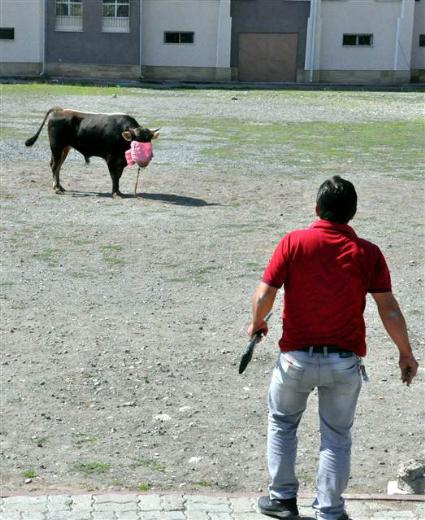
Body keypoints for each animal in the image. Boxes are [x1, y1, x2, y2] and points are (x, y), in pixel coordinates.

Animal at [25, 107, 160, 197]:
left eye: (149, 140)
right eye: (135, 140)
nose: (145, 159)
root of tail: (60, 110)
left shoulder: (120, 161)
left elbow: (118, 175)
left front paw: (118, 191)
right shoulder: (111, 158)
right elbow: (114, 176)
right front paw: (115, 193)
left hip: (65, 148)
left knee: (58, 166)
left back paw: (60, 187)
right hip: (56, 147)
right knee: (54, 165)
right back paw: (56, 188)